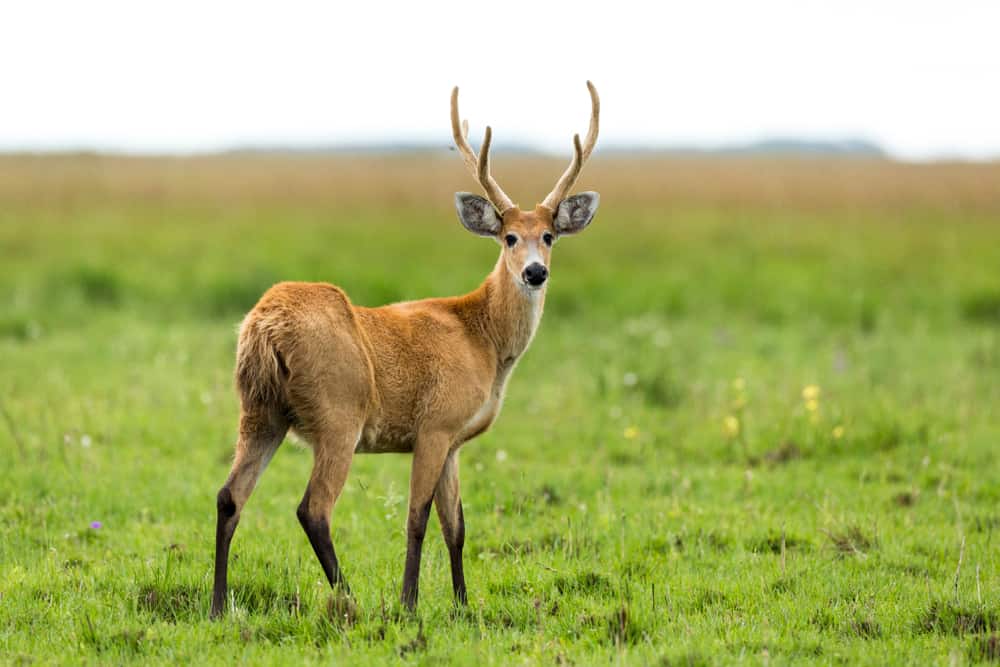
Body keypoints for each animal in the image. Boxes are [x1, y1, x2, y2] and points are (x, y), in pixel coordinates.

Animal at [211, 81, 600, 620]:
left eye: (549, 236)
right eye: (508, 237)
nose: (535, 272)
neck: (482, 338)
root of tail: (264, 327)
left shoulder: (454, 441)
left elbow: (457, 526)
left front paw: (463, 605)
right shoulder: (433, 425)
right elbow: (417, 518)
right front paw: (410, 602)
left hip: (259, 411)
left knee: (229, 496)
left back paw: (217, 606)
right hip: (338, 413)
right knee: (313, 508)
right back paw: (351, 600)